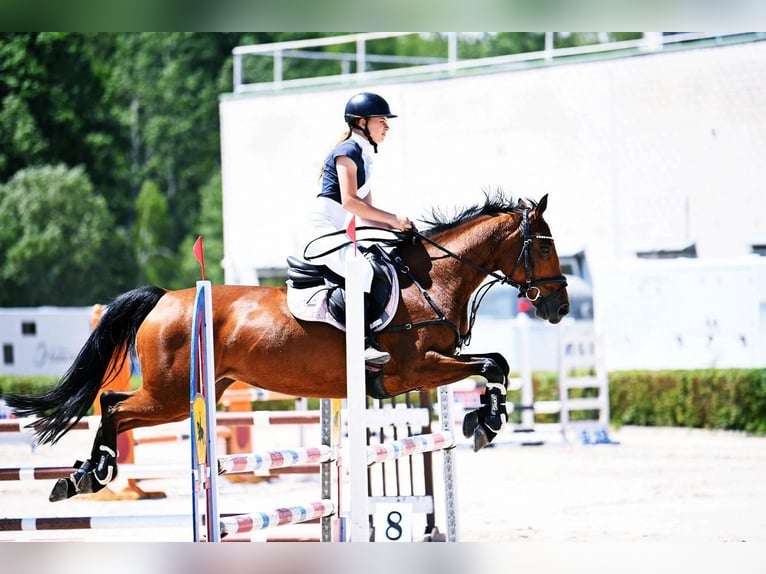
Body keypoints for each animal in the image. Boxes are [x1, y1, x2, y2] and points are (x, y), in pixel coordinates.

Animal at [6, 191, 568, 502]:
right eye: (544, 246)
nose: (560, 307)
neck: (430, 281)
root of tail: (166, 297)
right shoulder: (415, 370)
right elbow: (494, 363)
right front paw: (486, 423)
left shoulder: (424, 370)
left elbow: (497, 364)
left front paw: (484, 421)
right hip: (170, 395)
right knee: (112, 406)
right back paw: (89, 476)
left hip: (187, 394)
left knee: (114, 407)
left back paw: (80, 478)